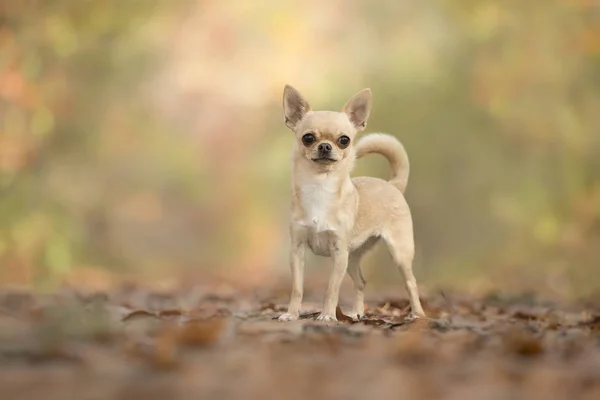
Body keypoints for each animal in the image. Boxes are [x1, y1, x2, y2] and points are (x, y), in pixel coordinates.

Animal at [278, 84, 426, 322]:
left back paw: (417, 313)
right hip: (353, 256)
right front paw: (292, 314)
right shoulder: (297, 251)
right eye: (308, 138)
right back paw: (357, 313)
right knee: (361, 282)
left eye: (344, 140)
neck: (320, 187)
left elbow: (332, 289)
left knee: (411, 282)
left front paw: (327, 316)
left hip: (399, 253)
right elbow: (297, 288)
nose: (325, 146)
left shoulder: (339, 253)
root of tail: (393, 184)